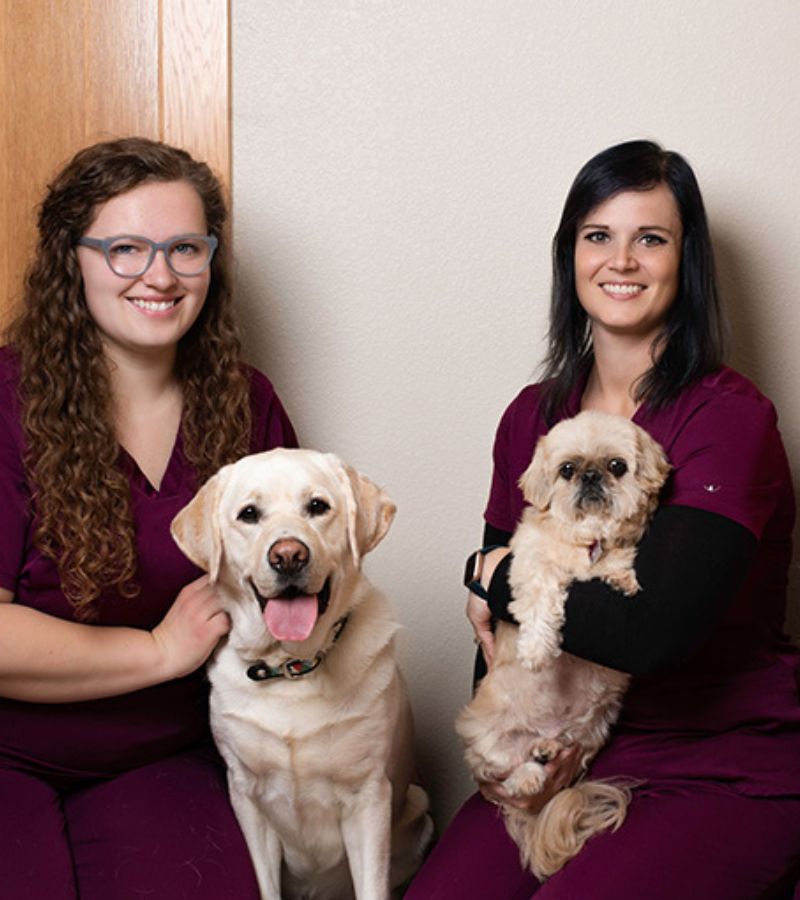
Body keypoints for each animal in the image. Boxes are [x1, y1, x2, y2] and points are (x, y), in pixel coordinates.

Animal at [170, 450, 432, 900]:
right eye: (249, 514)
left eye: (317, 506)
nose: (288, 555)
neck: (291, 670)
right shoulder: (246, 794)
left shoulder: (368, 799)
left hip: (417, 807)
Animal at [456, 414, 668, 880]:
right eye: (567, 469)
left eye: (616, 466)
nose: (590, 476)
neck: (584, 539)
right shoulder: (528, 566)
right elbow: (542, 596)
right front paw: (537, 649)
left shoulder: (610, 550)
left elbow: (616, 559)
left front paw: (620, 577)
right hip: (482, 735)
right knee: (503, 770)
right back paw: (530, 775)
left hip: (597, 723)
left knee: (566, 746)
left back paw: (548, 749)